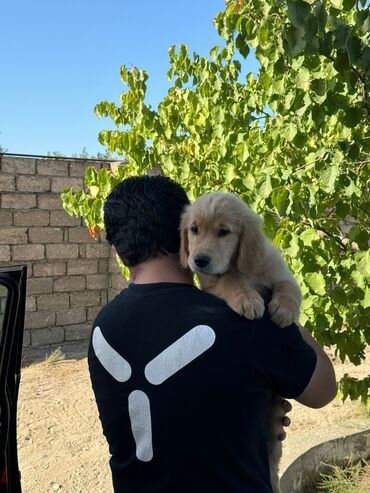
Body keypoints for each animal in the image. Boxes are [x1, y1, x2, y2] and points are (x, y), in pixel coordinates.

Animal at [180, 191, 304, 492]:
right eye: (194, 230)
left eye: (224, 232)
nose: (199, 260)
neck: (242, 266)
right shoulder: (214, 284)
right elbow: (230, 281)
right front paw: (248, 299)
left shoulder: (280, 272)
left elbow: (288, 287)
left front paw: (283, 311)